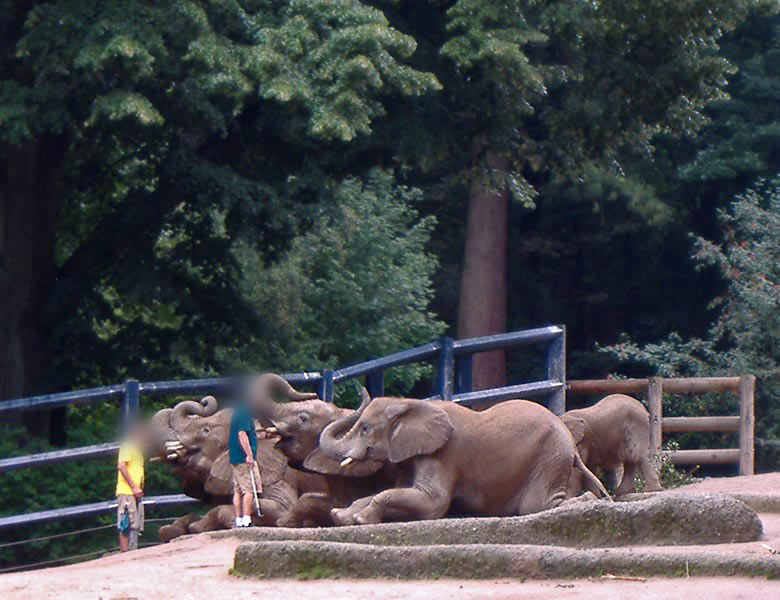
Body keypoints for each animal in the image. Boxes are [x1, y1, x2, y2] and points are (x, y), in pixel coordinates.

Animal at [316, 396, 608, 524]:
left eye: (365, 429)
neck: (411, 404)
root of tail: (569, 442)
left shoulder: (443, 455)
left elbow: (433, 503)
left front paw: (361, 519)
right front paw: (340, 516)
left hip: (550, 456)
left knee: (535, 506)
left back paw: (588, 503)